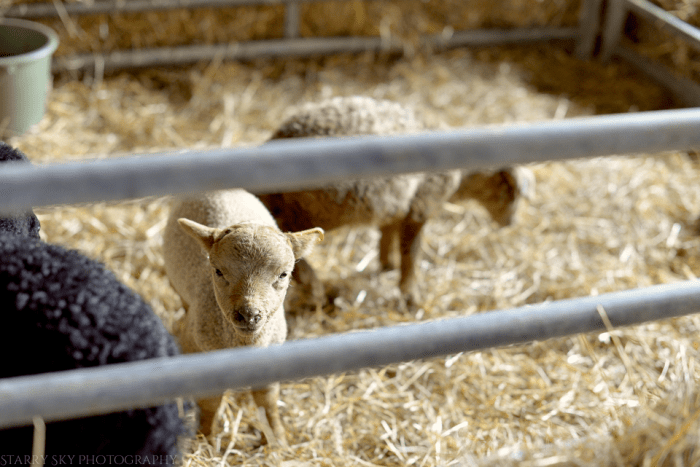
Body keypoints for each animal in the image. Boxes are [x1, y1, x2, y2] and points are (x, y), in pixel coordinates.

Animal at [162, 188, 324, 443]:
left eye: (284, 274)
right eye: (218, 271)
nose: (248, 315)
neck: (244, 344)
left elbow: (267, 400)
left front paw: (277, 440)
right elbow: (209, 403)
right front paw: (205, 438)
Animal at [258, 96, 531, 306]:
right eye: (511, 192)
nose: (511, 223)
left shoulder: (395, 205)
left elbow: (387, 232)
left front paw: (387, 265)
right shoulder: (421, 205)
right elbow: (411, 252)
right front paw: (411, 295)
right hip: (307, 209)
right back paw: (315, 290)